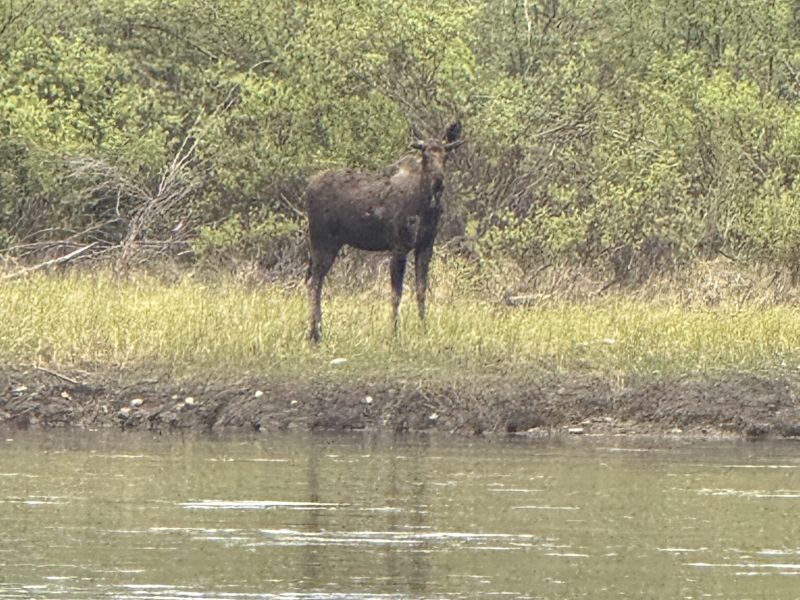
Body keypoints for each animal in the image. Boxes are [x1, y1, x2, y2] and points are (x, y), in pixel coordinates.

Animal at [305, 121, 463, 342]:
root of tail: (307, 190)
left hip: (328, 244)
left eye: (445, 155)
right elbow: (396, 294)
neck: (426, 207)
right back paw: (316, 333)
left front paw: (424, 329)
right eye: (425, 156)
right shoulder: (399, 246)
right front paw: (395, 333)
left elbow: (421, 290)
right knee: (314, 283)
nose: (438, 180)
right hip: (322, 242)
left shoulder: (425, 246)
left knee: (313, 280)